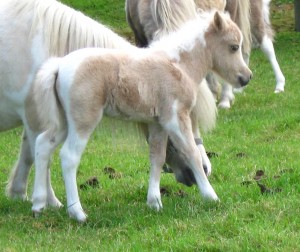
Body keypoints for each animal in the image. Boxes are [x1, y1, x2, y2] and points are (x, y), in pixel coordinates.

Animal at [0, 0, 216, 201]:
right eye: (184, 117)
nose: (205, 169)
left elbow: (30, 153)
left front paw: (19, 193)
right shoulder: (33, 117)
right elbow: (37, 155)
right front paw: (48, 201)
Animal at [29, 10, 251, 221]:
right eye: (233, 47)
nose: (246, 77)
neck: (178, 65)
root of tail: (59, 66)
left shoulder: (158, 123)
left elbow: (157, 158)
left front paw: (154, 202)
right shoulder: (175, 117)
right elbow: (191, 153)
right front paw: (210, 196)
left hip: (64, 122)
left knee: (43, 145)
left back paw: (39, 204)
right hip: (83, 120)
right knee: (69, 156)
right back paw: (77, 213)